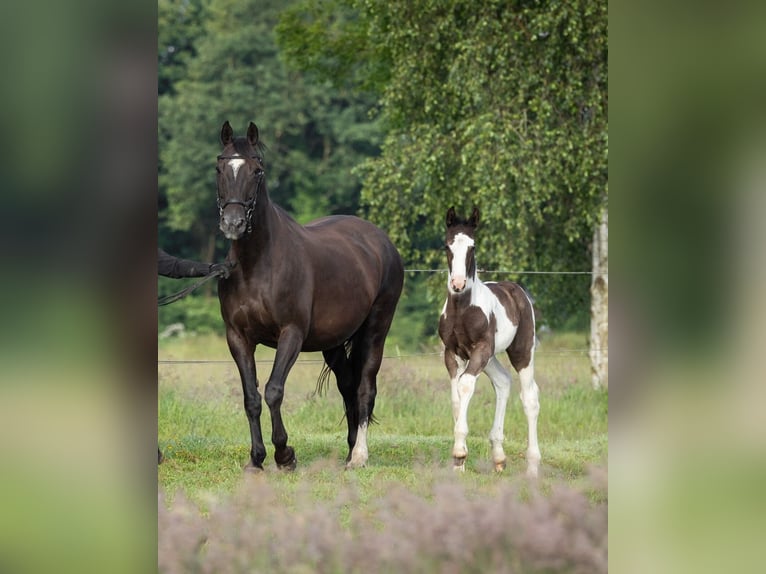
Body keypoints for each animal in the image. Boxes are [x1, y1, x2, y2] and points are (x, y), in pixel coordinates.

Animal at [213, 122, 404, 472]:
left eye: (257, 170)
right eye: (219, 168)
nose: (233, 223)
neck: (257, 264)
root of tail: (381, 241)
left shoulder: (292, 334)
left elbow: (274, 390)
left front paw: (284, 454)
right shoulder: (238, 337)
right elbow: (251, 398)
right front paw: (256, 459)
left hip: (375, 330)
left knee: (365, 387)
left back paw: (359, 456)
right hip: (333, 341)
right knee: (347, 385)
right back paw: (349, 449)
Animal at [440, 209, 544, 480]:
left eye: (473, 247)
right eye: (447, 245)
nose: (457, 284)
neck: (462, 310)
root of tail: (517, 290)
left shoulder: (480, 350)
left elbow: (466, 385)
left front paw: (459, 454)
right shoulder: (452, 353)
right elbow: (456, 399)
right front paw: (459, 464)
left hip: (520, 351)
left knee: (530, 397)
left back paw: (532, 466)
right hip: (490, 359)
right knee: (503, 381)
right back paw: (499, 457)